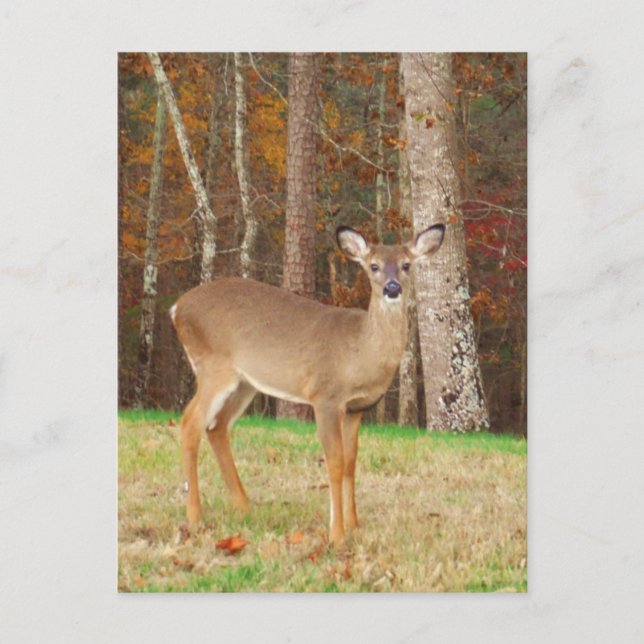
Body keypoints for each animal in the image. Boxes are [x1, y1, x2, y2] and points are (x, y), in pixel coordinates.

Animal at [170, 223, 445, 546]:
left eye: (406, 265)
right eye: (374, 266)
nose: (392, 288)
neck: (359, 352)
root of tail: (176, 308)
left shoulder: (356, 408)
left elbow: (351, 462)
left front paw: (354, 525)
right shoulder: (325, 396)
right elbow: (335, 462)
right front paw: (337, 534)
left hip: (244, 382)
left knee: (217, 427)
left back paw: (244, 507)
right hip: (213, 367)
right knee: (190, 423)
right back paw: (195, 517)